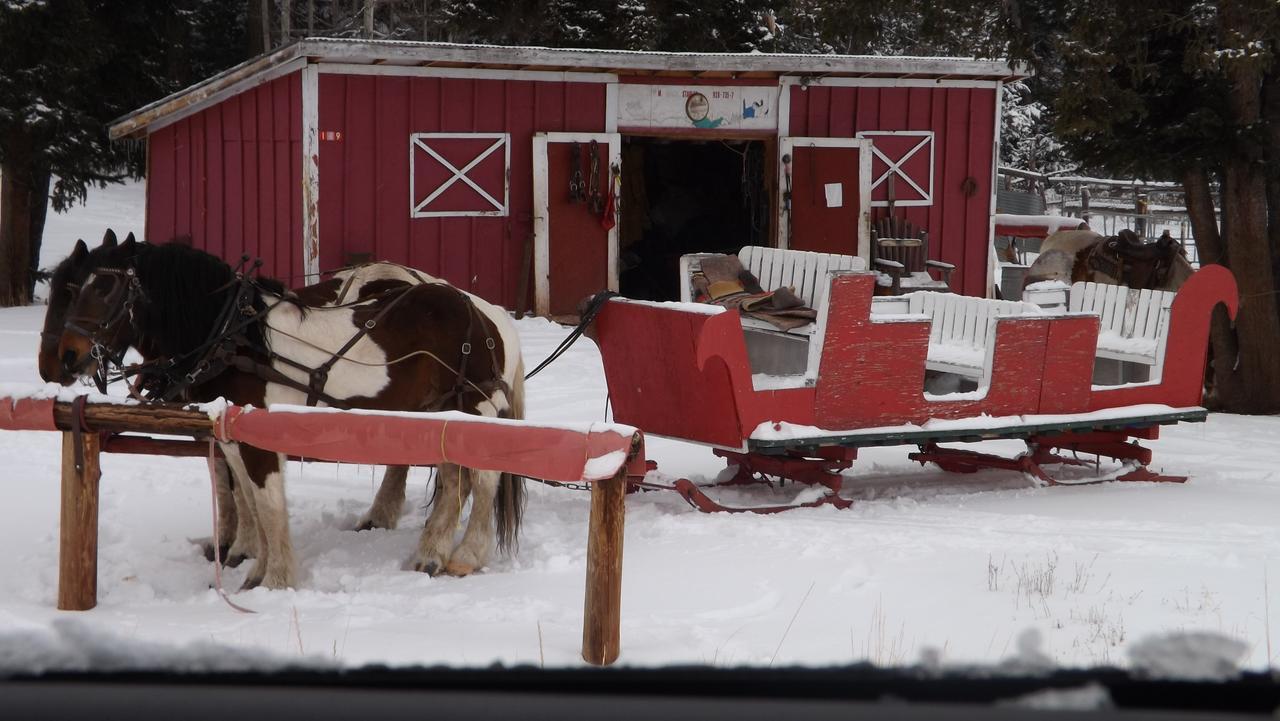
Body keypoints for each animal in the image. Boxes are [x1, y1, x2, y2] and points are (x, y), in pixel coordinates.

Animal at [43, 239, 524, 589]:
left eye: (102, 288)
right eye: (71, 289)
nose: (64, 358)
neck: (237, 340)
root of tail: (484, 312)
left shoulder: (259, 439)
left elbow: (268, 505)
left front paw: (274, 581)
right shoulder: (231, 437)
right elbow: (249, 503)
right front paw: (253, 571)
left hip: (475, 406)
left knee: (483, 478)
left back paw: (465, 556)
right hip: (441, 415)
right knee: (455, 479)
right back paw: (430, 554)